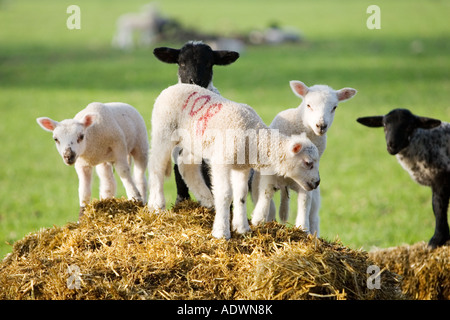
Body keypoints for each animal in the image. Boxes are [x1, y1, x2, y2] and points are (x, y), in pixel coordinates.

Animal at [148, 84, 320, 239]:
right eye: (308, 163)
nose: (317, 182)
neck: (254, 139)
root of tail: (170, 88)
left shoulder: (242, 167)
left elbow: (241, 194)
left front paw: (242, 228)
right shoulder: (221, 160)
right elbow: (225, 194)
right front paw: (222, 232)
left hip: (192, 140)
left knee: (186, 165)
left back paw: (207, 199)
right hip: (163, 130)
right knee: (156, 167)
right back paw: (156, 205)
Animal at [251, 80, 356, 235]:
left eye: (334, 107)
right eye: (308, 105)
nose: (321, 126)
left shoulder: (307, 180)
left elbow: (304, 203)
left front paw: (302, 228)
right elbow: (267, 195)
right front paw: (260, 221)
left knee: (313, 216)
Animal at [356, 109, 448, 249]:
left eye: (409, 126)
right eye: (384, 125)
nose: (391, 145)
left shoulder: (441, 177)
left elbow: (438, 207)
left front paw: (436, 240)